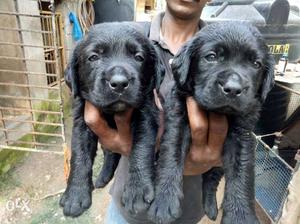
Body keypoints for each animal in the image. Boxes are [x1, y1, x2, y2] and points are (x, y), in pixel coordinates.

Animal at [59, 22, 162, 217]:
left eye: (138, 57)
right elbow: (79, 156)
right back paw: (103, 177)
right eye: (93, 57)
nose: (119, 83)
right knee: (109, 153)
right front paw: (75, 195)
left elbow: (141, 148)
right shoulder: (82, 121)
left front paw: (137, 190)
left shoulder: (146, 112)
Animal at [148, 21, 274, 224]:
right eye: (211, 57)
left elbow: (242, 174)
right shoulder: (178, 119)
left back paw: (211, 207)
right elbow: (171, 155)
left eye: (256, 64)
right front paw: (164, 200)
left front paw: (240, 216)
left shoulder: (242, 135)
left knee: (211, 180)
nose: (233, 89)